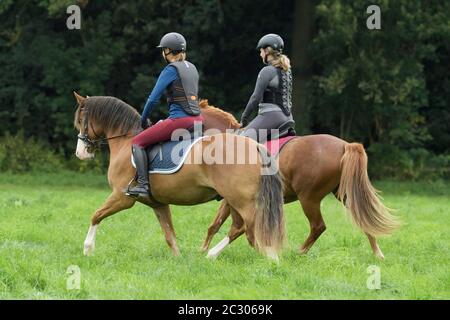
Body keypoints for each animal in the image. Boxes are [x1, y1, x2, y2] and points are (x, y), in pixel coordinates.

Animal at [74, 92, 284, 260]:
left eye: (80, 122)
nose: (80, 153)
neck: (125, 142)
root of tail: (254, 145)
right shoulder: (158, 204)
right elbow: (170, 235)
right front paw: (178, 259)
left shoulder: (121, 197)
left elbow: (96, 215)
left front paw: (87, 249)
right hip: (234, 200)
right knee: (240, 227)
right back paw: (212, 255)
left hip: (241, 200)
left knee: (252, 228)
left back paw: (270, 259)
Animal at [199, 100, 400, 260]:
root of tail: (345, 145)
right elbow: (218, 225)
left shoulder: (232, 198)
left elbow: (222, 225)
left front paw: (204, 250)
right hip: (344, 195)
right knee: (363, 218)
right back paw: (378, 254)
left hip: (309, 198)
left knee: (318, 226)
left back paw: (298, 252)